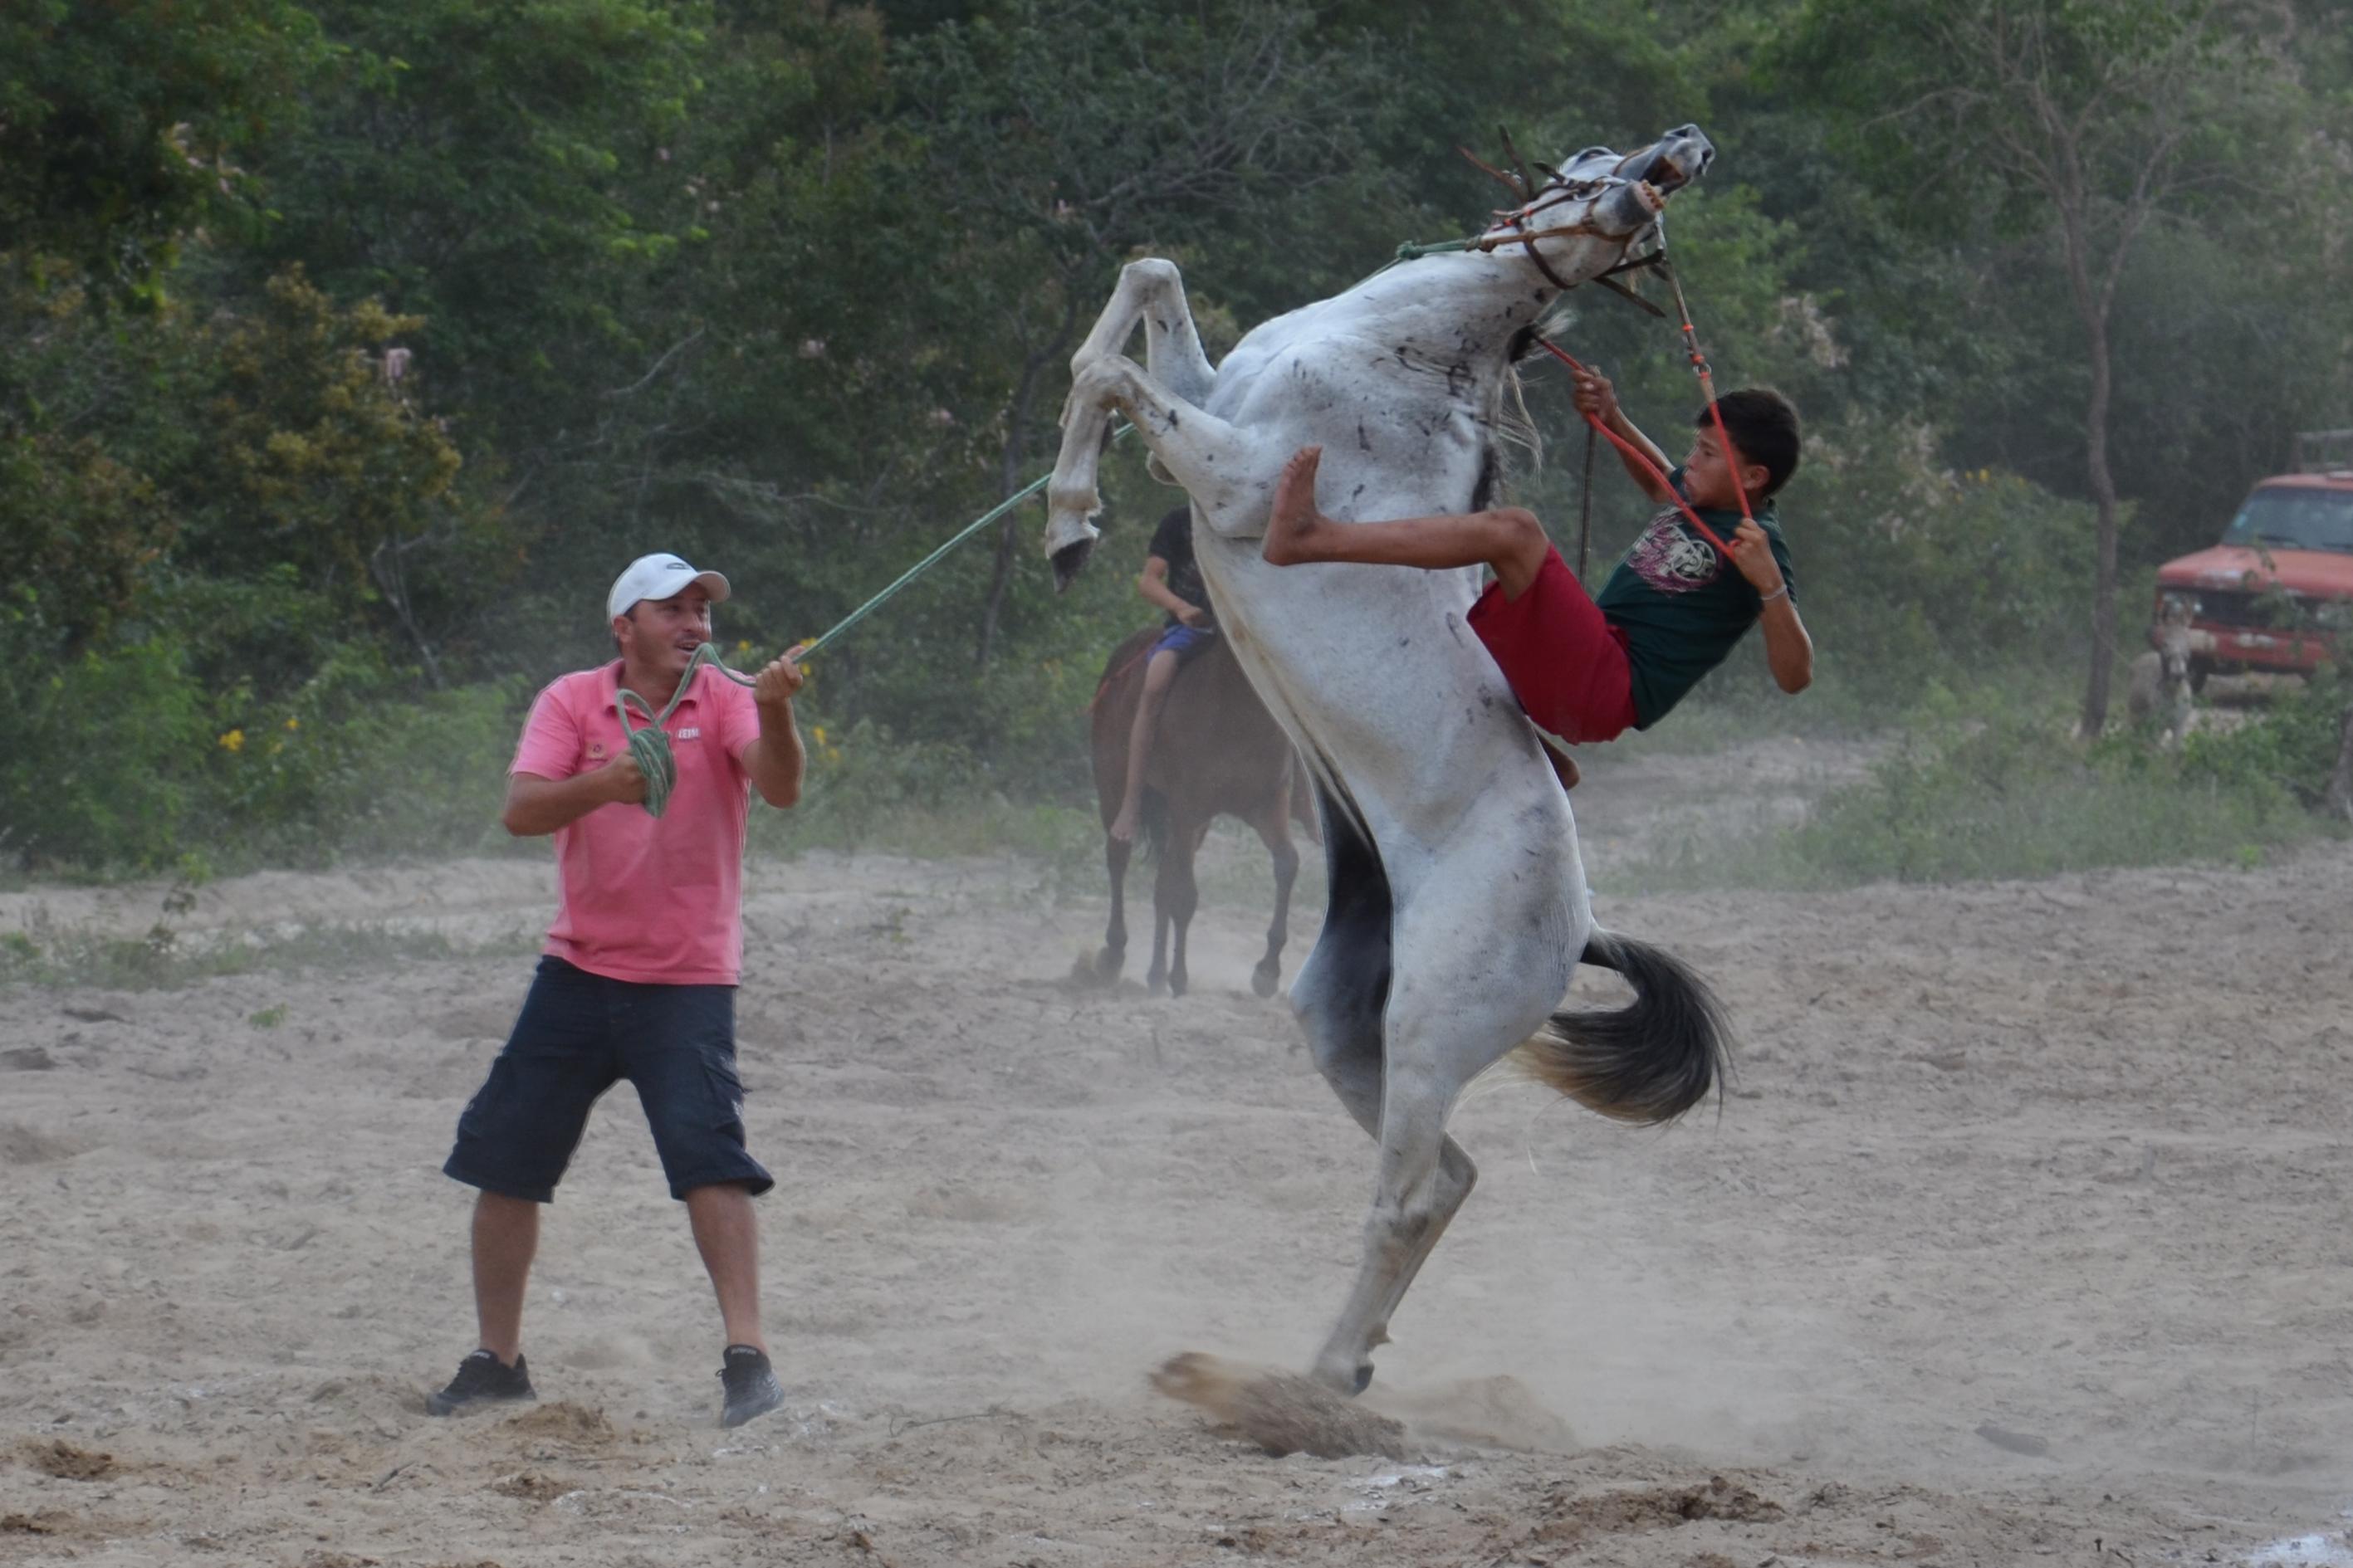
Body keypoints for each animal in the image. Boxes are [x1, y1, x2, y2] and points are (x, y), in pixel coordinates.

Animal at [1089, 627, 1318, 1000]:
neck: (1237, 709)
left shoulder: (1267, 806)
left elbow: (1287, 864)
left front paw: (1267, 972)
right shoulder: (1188, 806)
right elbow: (1183, 895)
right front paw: (1180, 976)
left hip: (1195, 826)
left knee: (1162, 882)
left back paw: (1155, 975)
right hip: (1114, 789)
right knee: (1119, 859)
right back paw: (1113, 955)